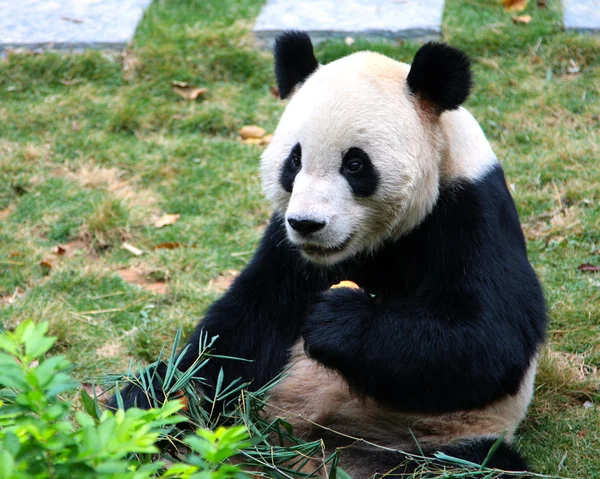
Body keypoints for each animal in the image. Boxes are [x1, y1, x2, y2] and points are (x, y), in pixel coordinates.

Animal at [112, 31, 548, 478]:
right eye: (295, 160)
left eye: (355, 164)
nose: (307, 224)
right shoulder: (285, 246)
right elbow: (242, 330)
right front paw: (154, 404)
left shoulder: (471, 209)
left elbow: (489, 337)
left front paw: (336, 320)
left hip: (439, 435)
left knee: (468, 464)